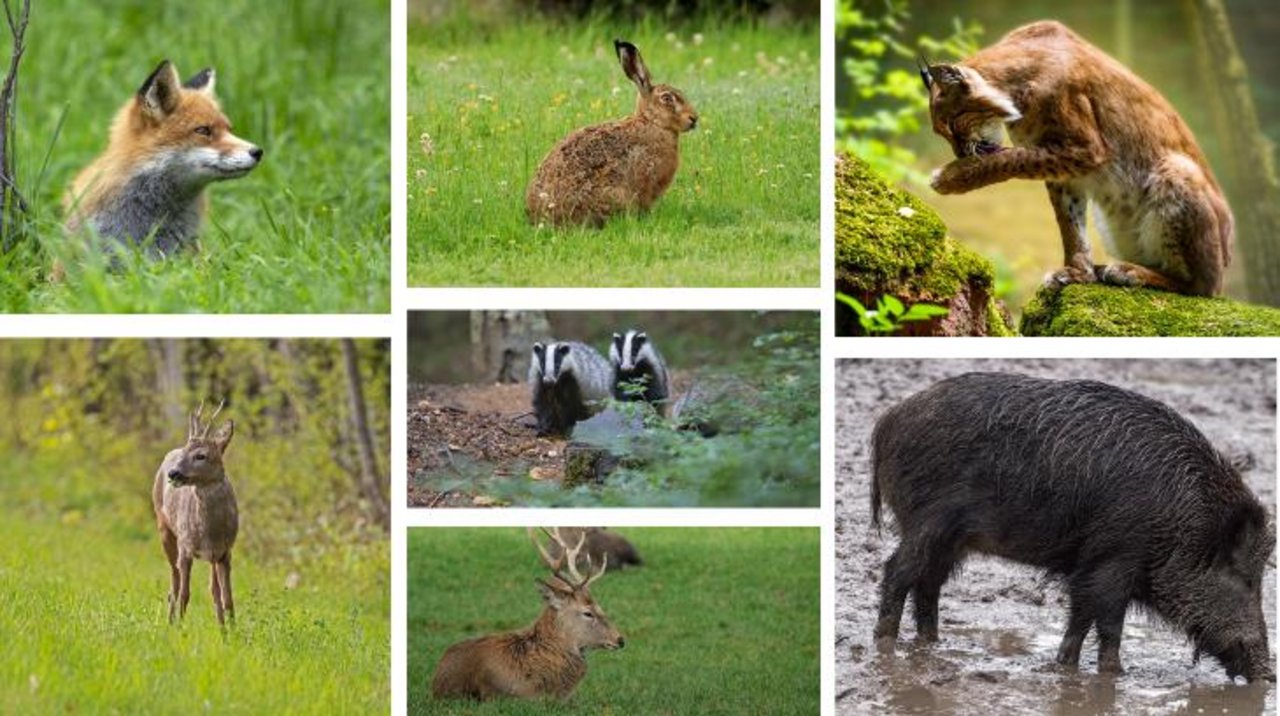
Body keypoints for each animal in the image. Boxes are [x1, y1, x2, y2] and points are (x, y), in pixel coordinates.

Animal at [151, 404, 239, 627]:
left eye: (201, 455)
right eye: (185, 451)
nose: (173, 473)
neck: (210, 531)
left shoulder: (225, 552)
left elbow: (227, 598)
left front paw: (232, 631)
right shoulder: (185, 547)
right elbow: (185, 594)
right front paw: (180, 629)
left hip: (212, 557)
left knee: (213, 590)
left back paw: (221, 627)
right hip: (164, 529)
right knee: (173, 585)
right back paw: (170, 622)